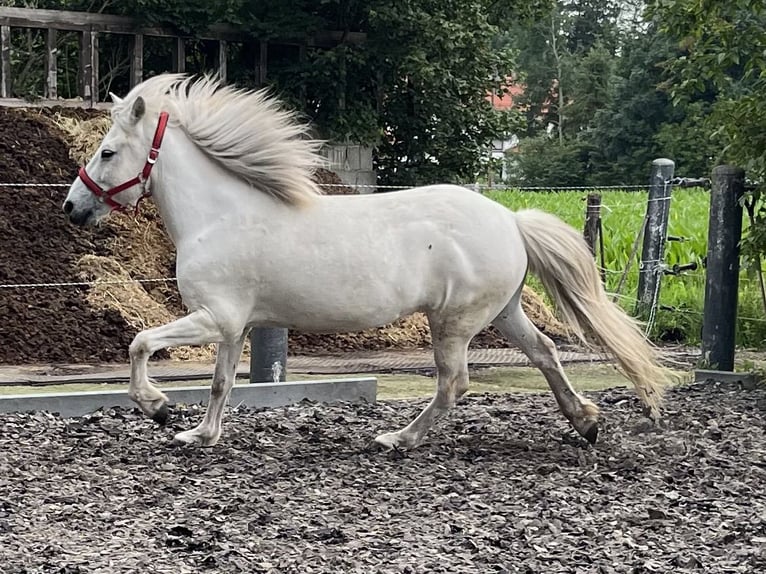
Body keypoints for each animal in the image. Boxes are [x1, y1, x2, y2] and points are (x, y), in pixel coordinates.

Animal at [62, 74, 672, 448]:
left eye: (108, 152)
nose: (72, 207)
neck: (219, 216)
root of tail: (510, 220)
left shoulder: (214, 318)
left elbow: (141, 344)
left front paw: (159, 408)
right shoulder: (234, 326)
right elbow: (220, 383)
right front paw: (200, 435)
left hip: (453, 323)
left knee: (454, 384)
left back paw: (398, 439)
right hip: (502, 313)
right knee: (545, 352)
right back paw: (587, 422)